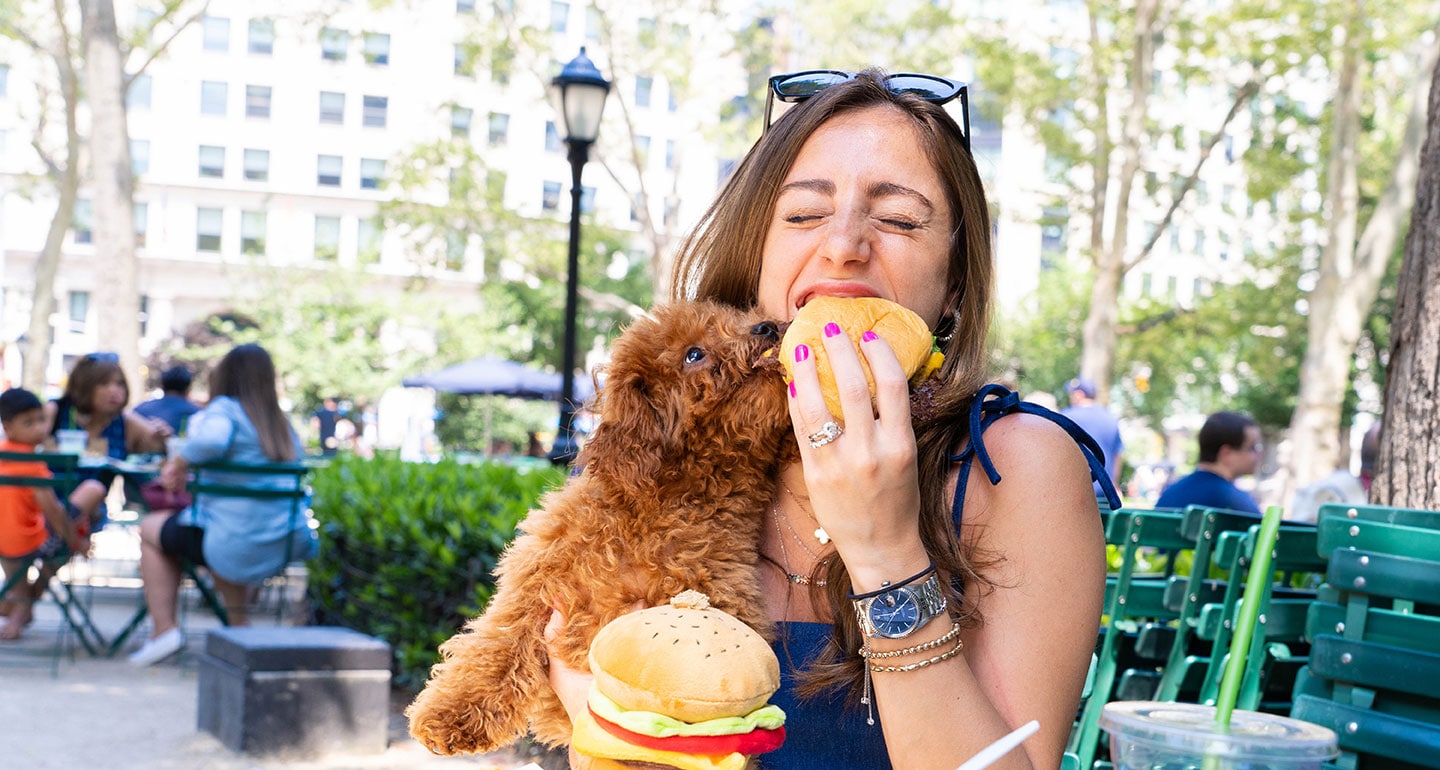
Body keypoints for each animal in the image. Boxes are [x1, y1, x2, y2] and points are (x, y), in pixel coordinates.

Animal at [406, 302, 794, 759]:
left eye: (744, 317)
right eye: (694, 354)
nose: (767, 327)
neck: (669, 506)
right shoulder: (539, 579)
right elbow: (497, 643)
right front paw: (451, 712)